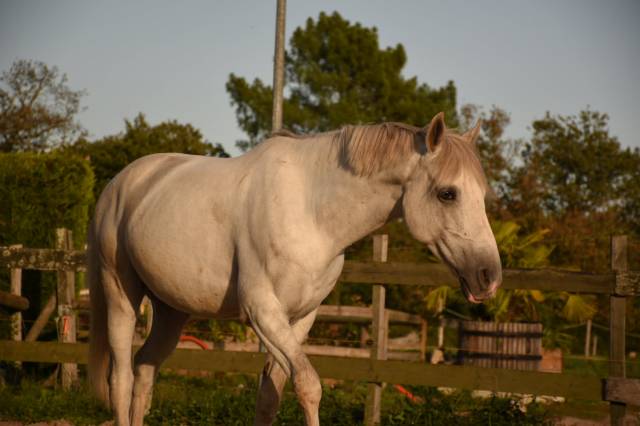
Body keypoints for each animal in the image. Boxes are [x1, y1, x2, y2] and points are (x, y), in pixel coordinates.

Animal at [88, 112, 502, 426]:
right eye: (447, 193)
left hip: (172, 310)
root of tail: (121, 183)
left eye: (482, 196)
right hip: (120, 297)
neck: (311, 209)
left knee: (145, 369)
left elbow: (270, 395)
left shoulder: (299, 318)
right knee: (121, 377)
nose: (489, 276)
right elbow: (309, 385)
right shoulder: (262, 312)